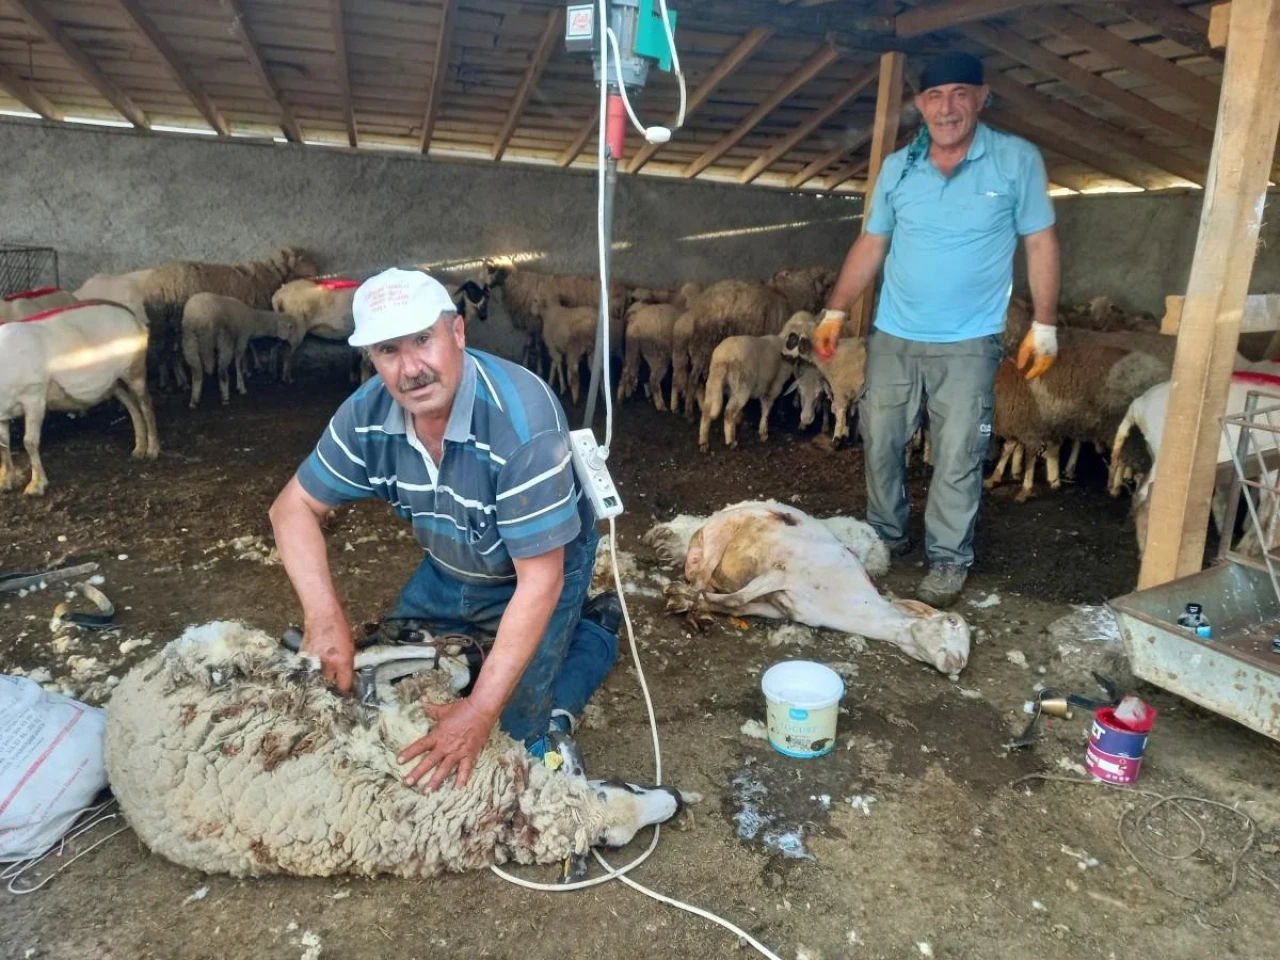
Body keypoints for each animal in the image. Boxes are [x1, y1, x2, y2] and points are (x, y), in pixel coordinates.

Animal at [0, 302, 158, 499]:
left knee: (146, 405)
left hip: (134, 370)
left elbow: (29, 442)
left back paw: (152, 450)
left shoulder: (33, 397)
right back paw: (139, 449)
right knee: (132, 405)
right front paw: (6, 481)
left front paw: (36, 485)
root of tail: (136, 320)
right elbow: (3, 444)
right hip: (113, 383)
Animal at [107, 624, 691, 880]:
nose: (677, 799)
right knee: (304, 659)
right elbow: (444, 678)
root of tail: (121, 699)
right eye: (613, 840)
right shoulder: (417, 725)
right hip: (222, 649)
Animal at [140, 248, 317, 391]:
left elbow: (249, 345)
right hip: (177, 319)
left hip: (161, 321)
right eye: (301, 258)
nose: (317, 270)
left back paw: (165, 381)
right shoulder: (247, 314)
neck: (268, 275)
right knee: (174, 351)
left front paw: (249, 368)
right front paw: (252, 368)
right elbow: (250, 345)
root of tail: (156, 284)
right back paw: (182, 381)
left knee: (162, 349)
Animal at [650, 504, 967, 675]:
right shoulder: (781, 572)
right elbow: (736, 597)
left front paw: (698, 606)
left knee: (705, 584)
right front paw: (682, 599)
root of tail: (703, 527)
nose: (958, 662)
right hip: (720, 537)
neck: (850, 602)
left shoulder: (778, 606)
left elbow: (734, 604)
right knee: (701, 579)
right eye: (951, 621)